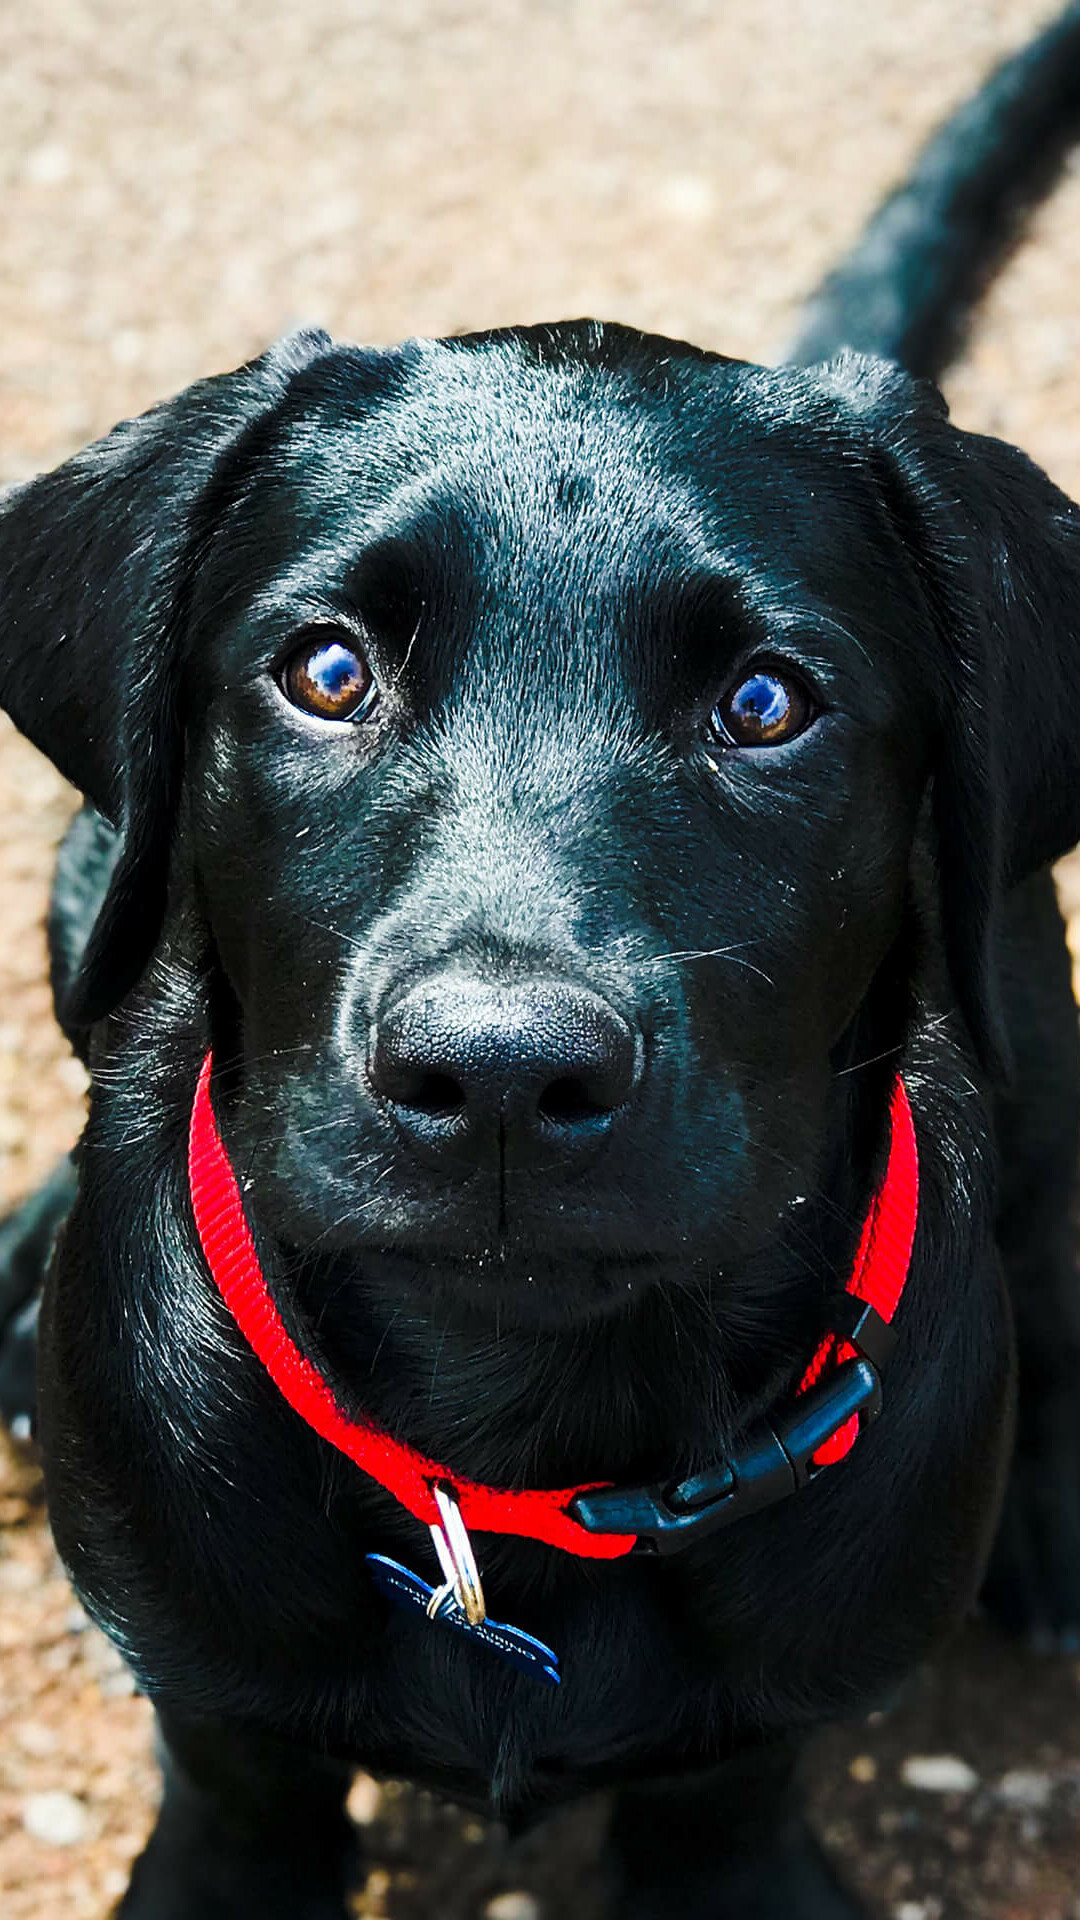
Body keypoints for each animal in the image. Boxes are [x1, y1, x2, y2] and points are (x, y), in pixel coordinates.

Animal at [6, 15, 1076, 1920]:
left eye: (767, 704)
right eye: (328, 671)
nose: (500, 1076)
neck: (518, 1451)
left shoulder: (750, 1773)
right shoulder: (222, 1728)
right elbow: (235, 1793)